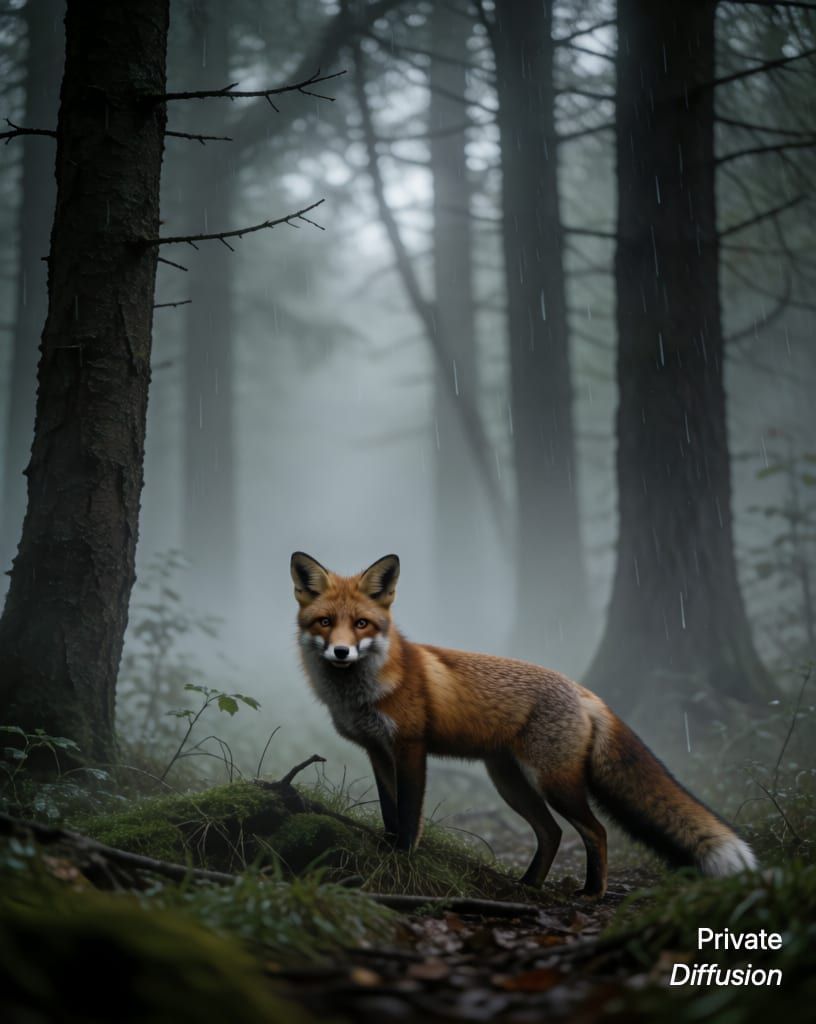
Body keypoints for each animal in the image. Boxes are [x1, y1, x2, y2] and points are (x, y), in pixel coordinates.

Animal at [290, 551, 756, 897]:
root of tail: (584, 692)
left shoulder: (410, 747)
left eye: (362, 624)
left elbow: (408, 813)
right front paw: (386, 848)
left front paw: (403, 856)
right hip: (509, 782)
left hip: (552, 781)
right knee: (551, 833)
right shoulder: (377, 750)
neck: (363, 691)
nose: (341, 653)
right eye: (325, 622)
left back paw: (592, 892)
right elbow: (389, 810)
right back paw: (529, 885)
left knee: (596, 831)